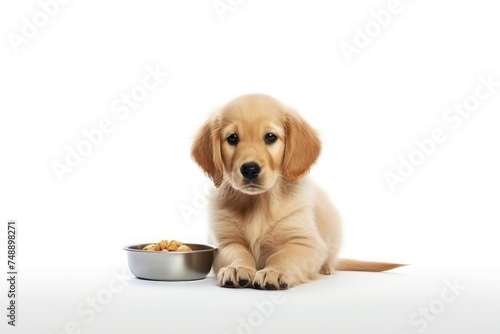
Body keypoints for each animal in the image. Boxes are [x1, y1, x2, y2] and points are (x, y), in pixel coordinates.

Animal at [191, 94, 402, 290]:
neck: (259, 202)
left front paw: (274, 272)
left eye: (270, 137)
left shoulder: (306, 243)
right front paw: (237, 268)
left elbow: (283, 255)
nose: (250, 169)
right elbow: (239, 253)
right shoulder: (225, 243)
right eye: (232, 138)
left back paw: (327, 268)